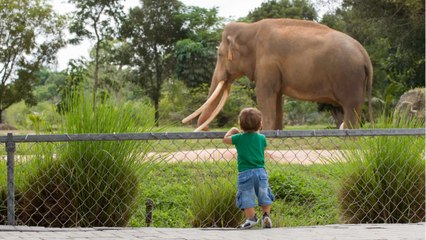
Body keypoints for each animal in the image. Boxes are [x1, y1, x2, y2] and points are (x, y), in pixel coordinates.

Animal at [183, 18, 372, 131]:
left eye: (219, 55)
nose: (205, 130)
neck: (249, 27)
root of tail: (365, 55)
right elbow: (277, 98)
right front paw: (277, 132)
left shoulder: (267, 63)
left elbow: (264, 94)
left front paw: (265, 132)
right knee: (356, 107)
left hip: (349, 77)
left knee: (350, 106)